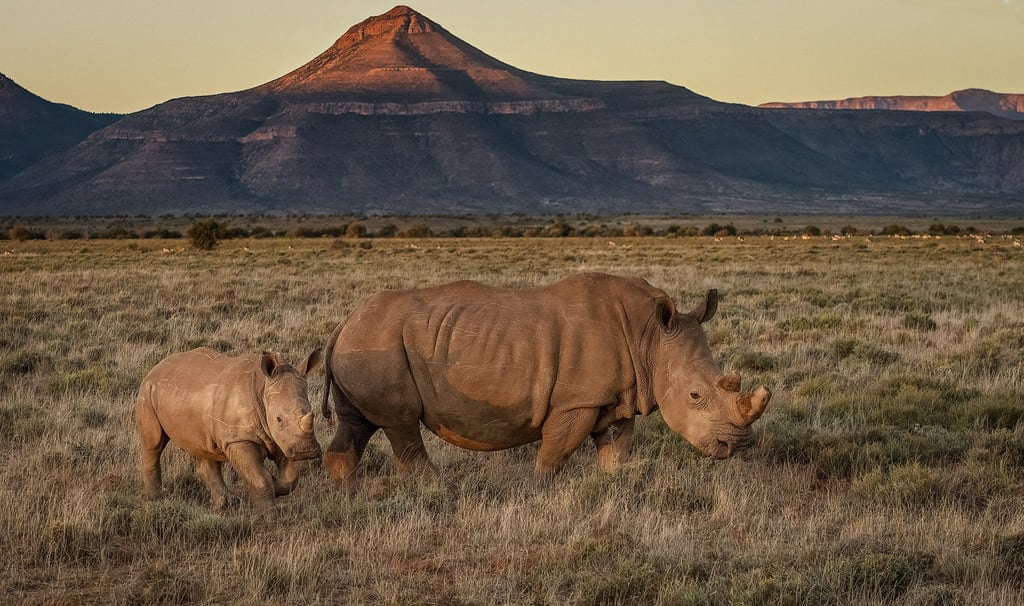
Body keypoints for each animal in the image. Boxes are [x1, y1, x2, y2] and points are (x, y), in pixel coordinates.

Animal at [135, 347, 322, 510]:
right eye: (279, 419)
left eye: (312, 413)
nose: (307, 451)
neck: (262, 388)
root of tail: (156, 367)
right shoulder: (239, 439)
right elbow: (260, 479)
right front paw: (269, 518)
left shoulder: (284, 439)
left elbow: (290, 479)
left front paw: (275, 485)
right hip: (147, 391)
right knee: (154, 444)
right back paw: (155, 500)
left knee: (205, 447)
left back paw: (223, 504)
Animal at [321, 273, 771, 479]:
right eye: (695, 395)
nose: (740, 446)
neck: (650, 339)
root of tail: (341, 324)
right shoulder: (576, 400)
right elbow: (554, 453)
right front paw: (540, 487)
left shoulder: (618, 397)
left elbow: (616, 450)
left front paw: (613, 482)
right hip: (378, 341)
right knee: (400, 423)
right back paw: (434, 486)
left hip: (365, 341)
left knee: (356, 424)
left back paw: (348, 493)